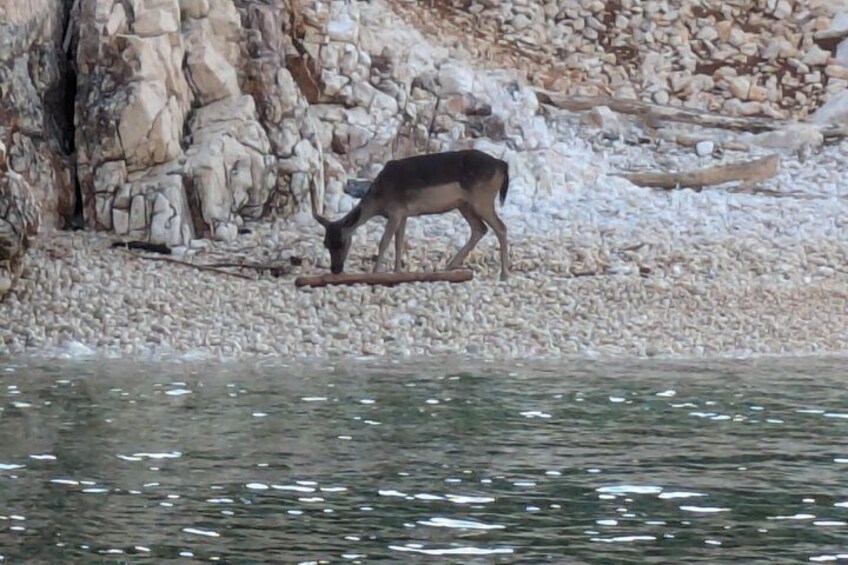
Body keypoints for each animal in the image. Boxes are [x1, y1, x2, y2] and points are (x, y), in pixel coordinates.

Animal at [313, 149, 511, 281]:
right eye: (325, 243)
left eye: (341, 242)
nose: (335, 269)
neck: (379, 199)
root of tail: (502, 165)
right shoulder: (404, 214)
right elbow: (399, 242)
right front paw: (397, 272)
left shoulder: (395, 211)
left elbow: (384, 242)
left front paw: (376, 273)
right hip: (464, 205)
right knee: (480, 229)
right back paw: (448, 266)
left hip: (482, 199)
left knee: (500, 227)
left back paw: (504, 273)